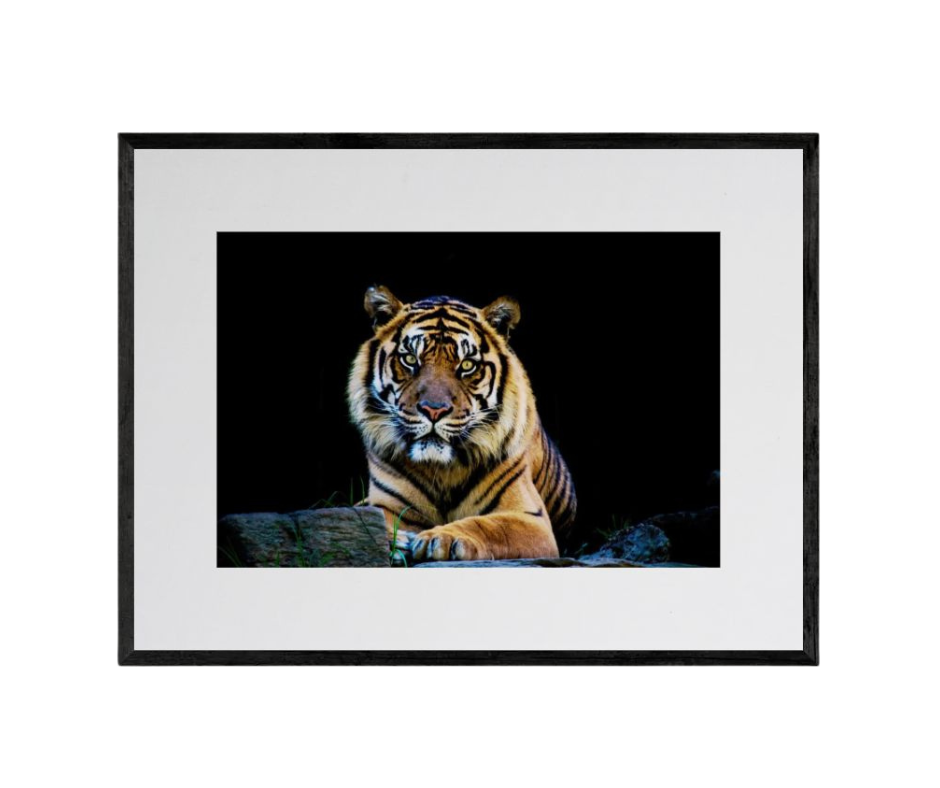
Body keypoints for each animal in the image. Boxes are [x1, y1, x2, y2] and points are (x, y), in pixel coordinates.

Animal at [347, 285, 577, 563]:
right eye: (410, 360)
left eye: (467, 365)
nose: (434, 410)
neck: (441, 471)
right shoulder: (383, 504)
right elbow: (370, 522)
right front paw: (396, 540)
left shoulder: (530, 517)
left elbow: (489, 526)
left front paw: (441, 537)